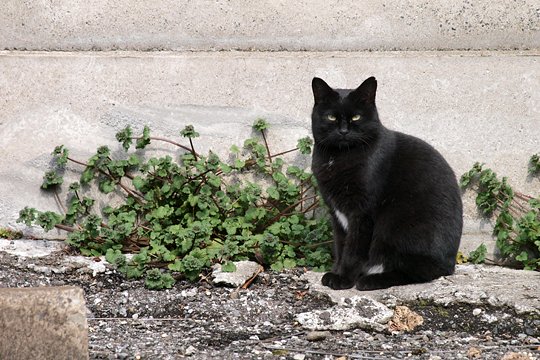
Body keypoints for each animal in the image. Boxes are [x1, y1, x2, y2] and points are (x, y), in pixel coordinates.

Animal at [310, 76, 462, 290]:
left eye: (356, 117)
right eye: (331, 117)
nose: (343, 131)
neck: (338, 157)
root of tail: (450, 263)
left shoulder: (362, 213)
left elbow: (353, 249)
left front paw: (343, 279)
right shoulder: (336, 213)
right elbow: (340, 246)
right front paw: (335, 272)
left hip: (396, 226)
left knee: (418, 271)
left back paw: (370, 280)